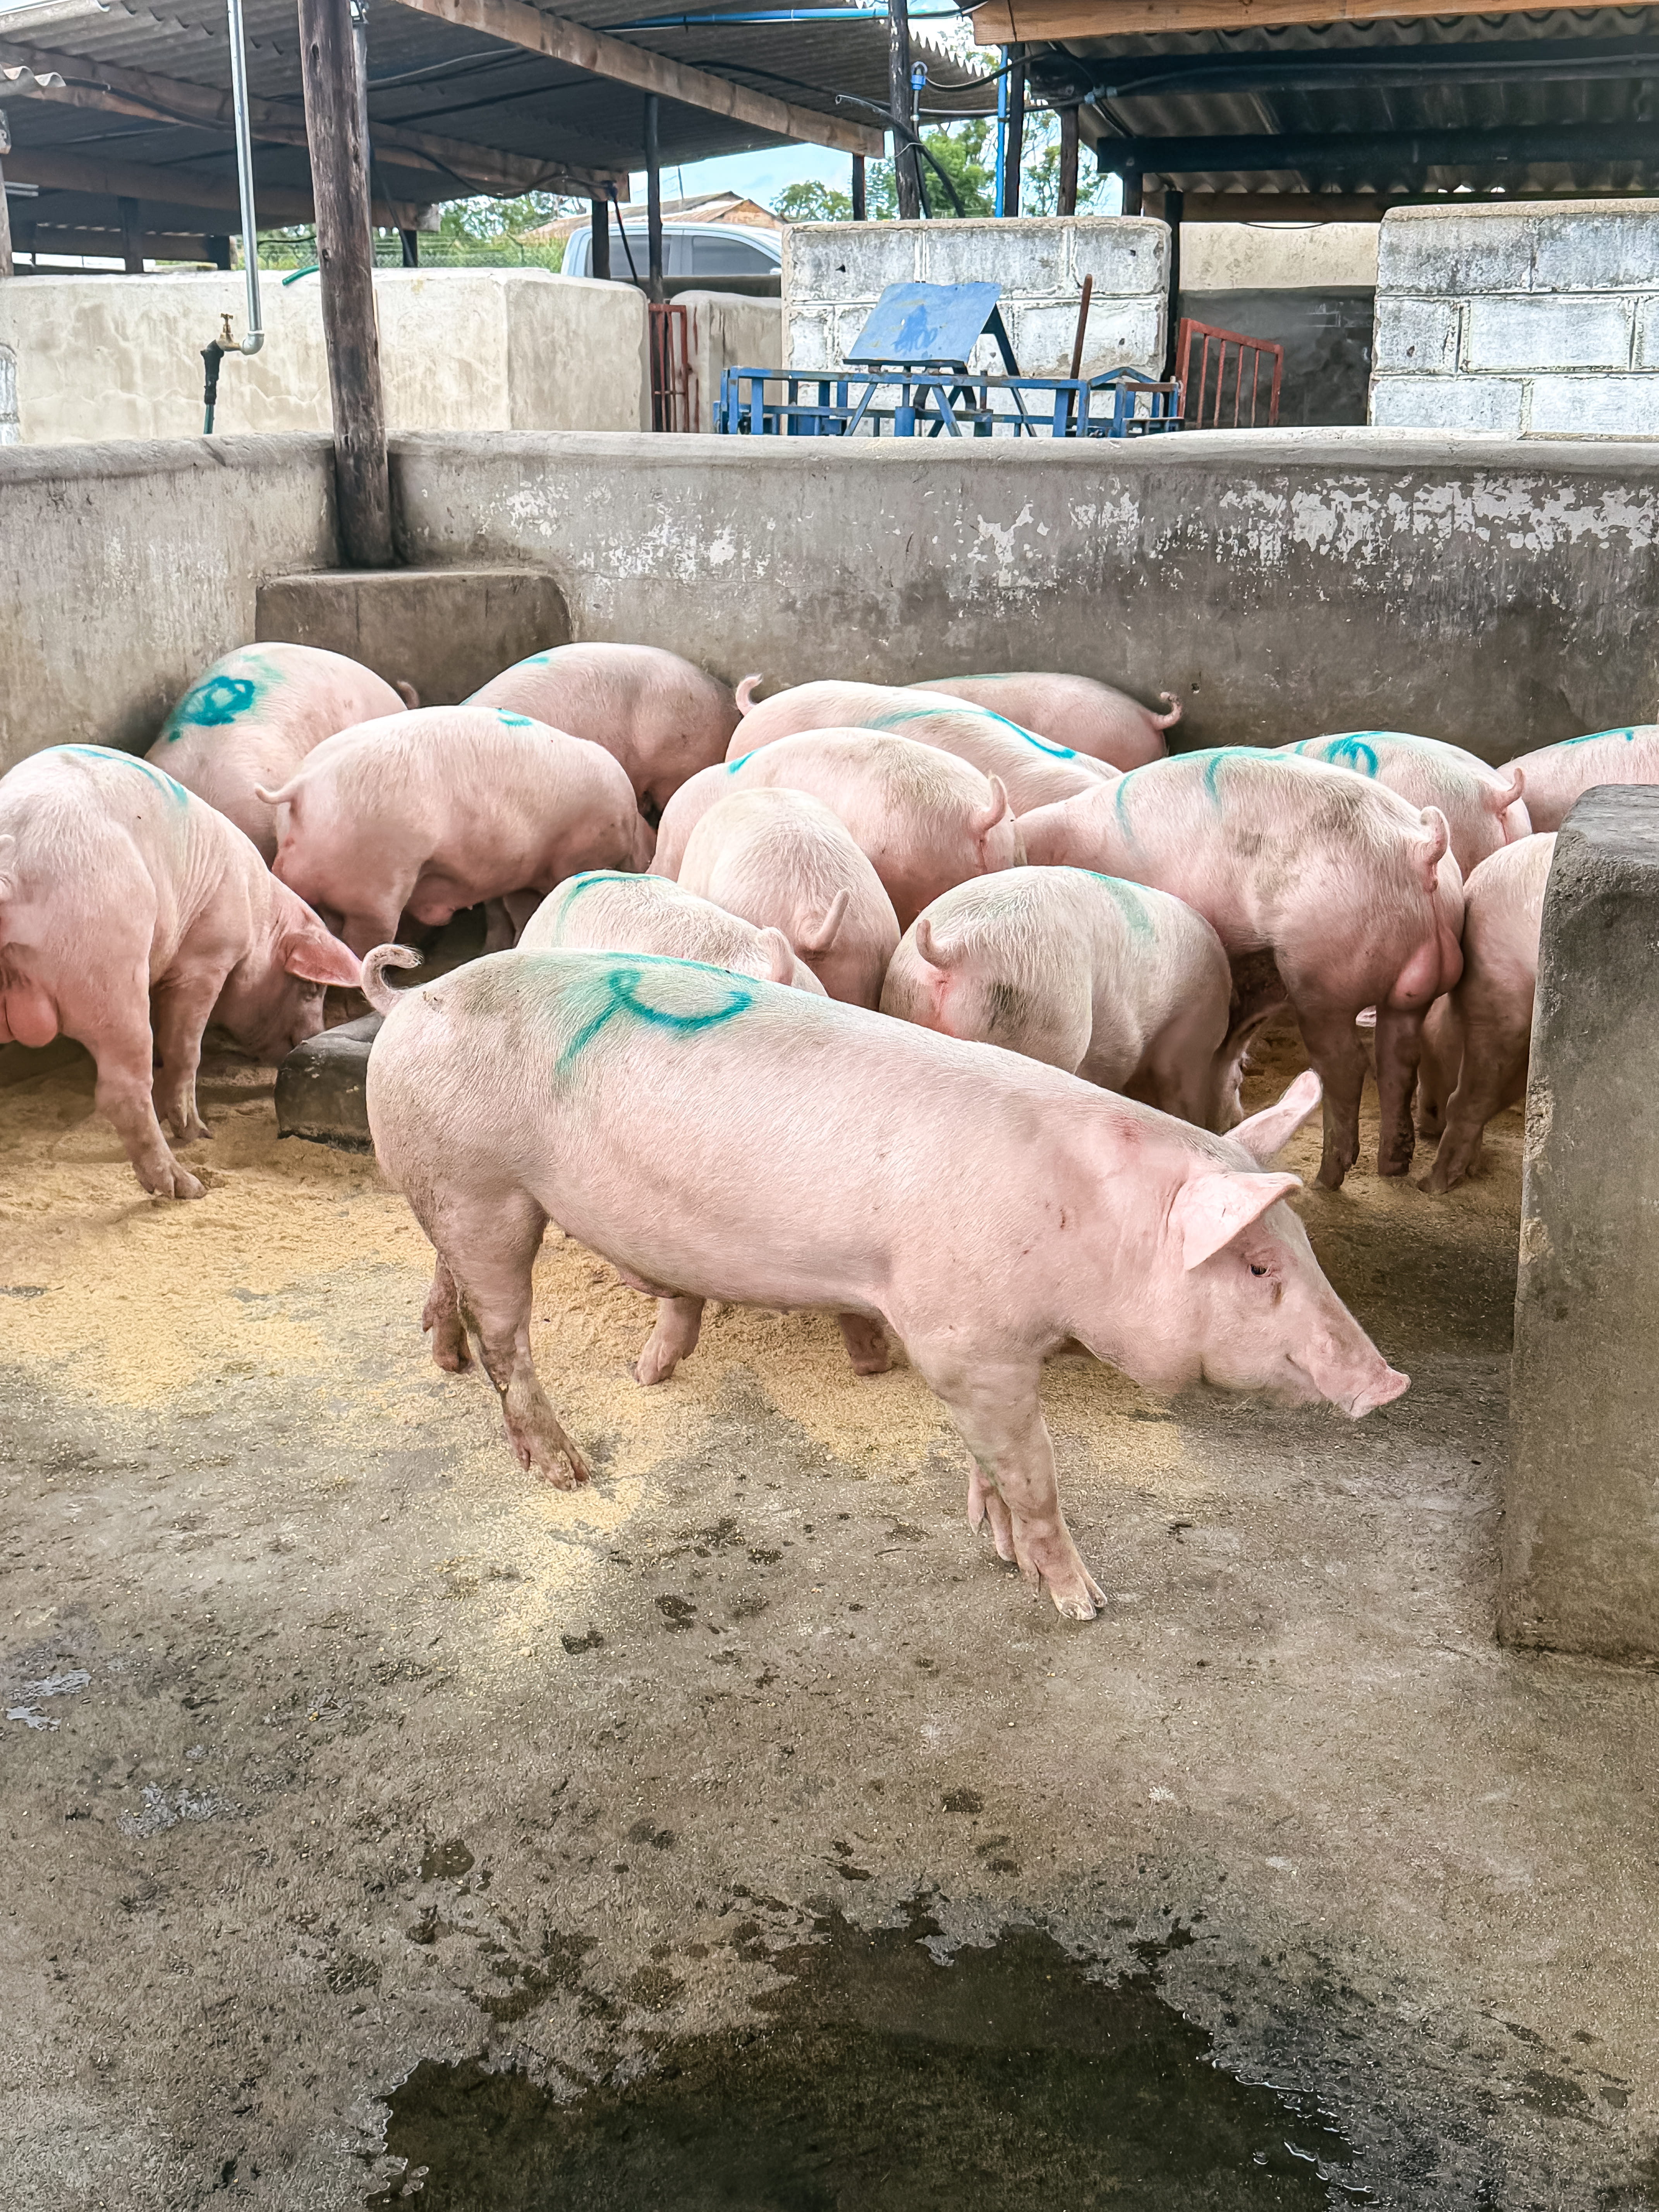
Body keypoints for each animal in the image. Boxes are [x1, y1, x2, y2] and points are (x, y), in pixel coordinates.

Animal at [0, 746, 360, 1199]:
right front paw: (201, 1134)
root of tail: (11, 863)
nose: (315, 1037)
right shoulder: (208, 958)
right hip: (110, 969)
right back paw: (186, 1186)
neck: (259, 917)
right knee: (123, 1088)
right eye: (311, 991)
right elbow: (186, 1048)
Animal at [256, 706, 652, 958]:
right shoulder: (575, 858)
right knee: (362, 943)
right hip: (374, 885)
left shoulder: (524, 875)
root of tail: (302, 787)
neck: (629, 824)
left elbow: (522, 911)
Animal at [362, 941, 1406, 1618]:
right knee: (508, 1335)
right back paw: (569, 1471)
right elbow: (1034, 1469)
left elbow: (995, 1463)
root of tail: (411, 1001)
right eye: (1258, 1264)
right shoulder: (964, 1341)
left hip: (449, 1189)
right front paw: (1083, 1604)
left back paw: (443, 1360)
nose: (1390, 1381)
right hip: (480, 1183)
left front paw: (1001, 1550)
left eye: (1302, 1246)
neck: (1086, 1227)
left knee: (452, 1286)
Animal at [1017, 750, 1465, 1188]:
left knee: (1347, 1065)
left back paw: (1327, 1178)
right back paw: (1394, 1164)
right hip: (1406, 992)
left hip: (1321, 976)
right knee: (1400, 1059)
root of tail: (1420, 848)